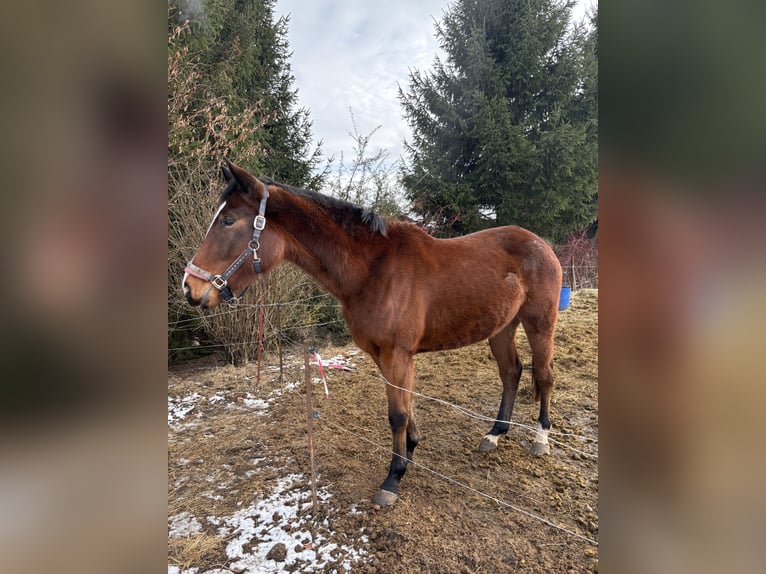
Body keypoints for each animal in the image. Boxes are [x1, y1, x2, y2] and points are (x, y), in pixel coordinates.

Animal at [183, 159, 563, 507]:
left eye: (229, 221)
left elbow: (397, 414)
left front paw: (393, 479)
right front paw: (409, 452)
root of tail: (540, 243)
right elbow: (406, 407)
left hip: (540, 323)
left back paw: (541, 439)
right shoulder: (381, 354)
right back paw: (495, 434)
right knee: (511, 372)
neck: (372, 270)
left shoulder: (398, 354)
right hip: (502, 327)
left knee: (544, 375)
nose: (191, 288)